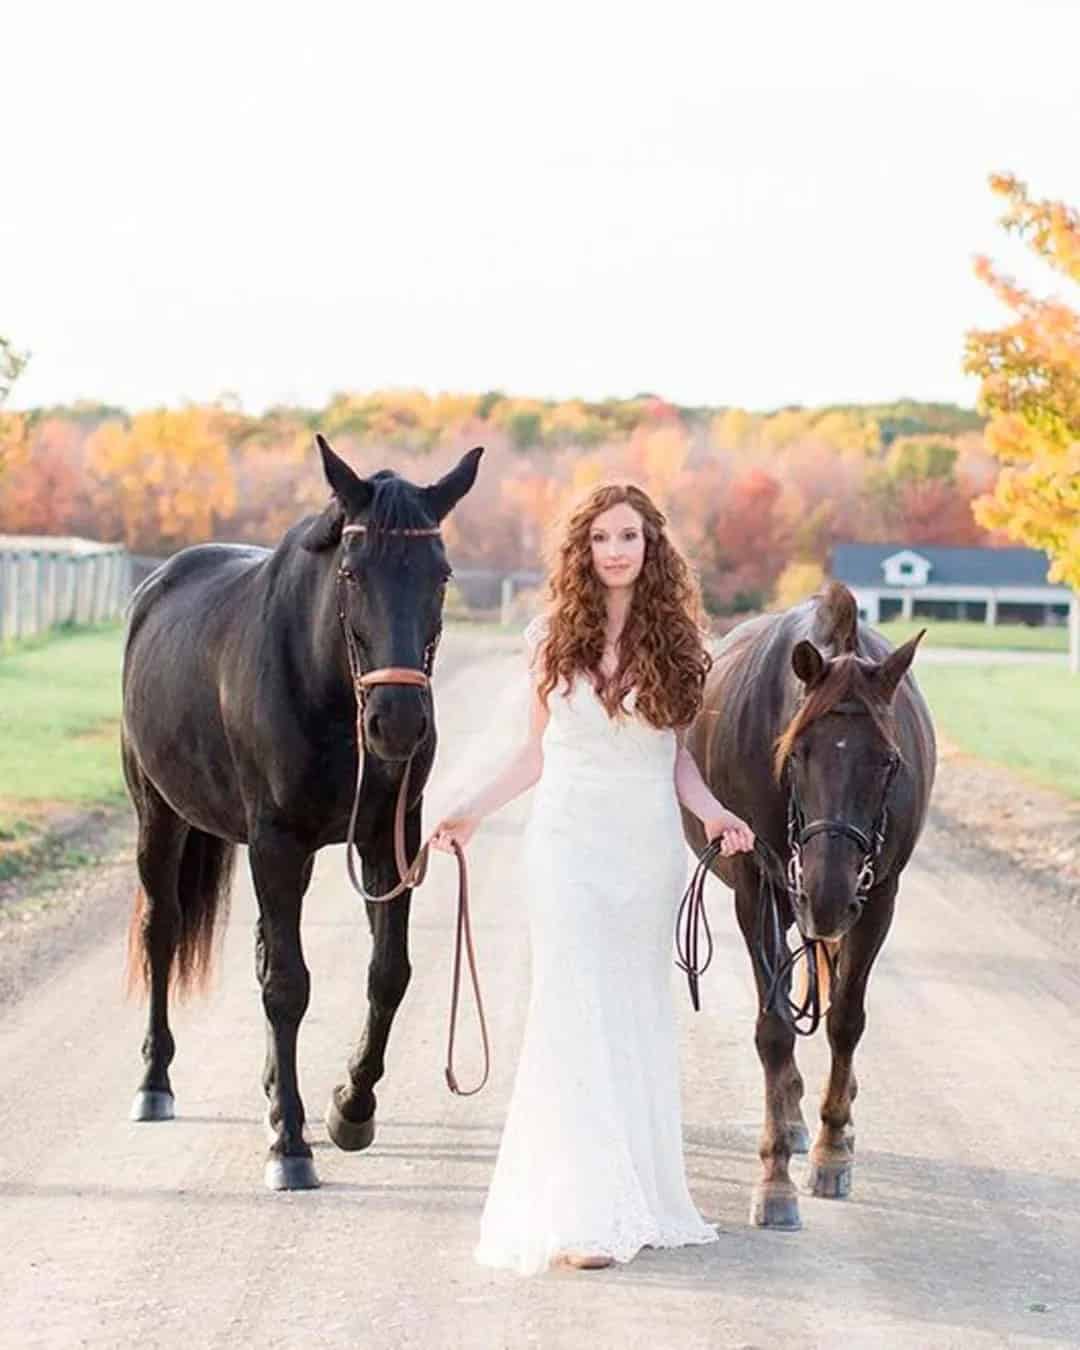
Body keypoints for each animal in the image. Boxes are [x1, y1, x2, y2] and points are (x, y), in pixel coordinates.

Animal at [120, 437, 483, 1188]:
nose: (397, 723)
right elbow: (287, 986)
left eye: (440, 573)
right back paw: (154, 1083)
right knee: (163, 931)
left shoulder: (388, 838)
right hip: (159, 817)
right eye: (351, 572)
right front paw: (291, 1145)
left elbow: (388, 973)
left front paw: (350, 1106)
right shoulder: (277, 843)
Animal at [683, 580, 934, 1225]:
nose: (829, 891)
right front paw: (775, 1177)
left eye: (889, 761)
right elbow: (775, 1029)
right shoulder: (759, 887)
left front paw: (832, 1149)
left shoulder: (879, 895)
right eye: (795, 754)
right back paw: (791, 1115)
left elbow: (846, 1019)